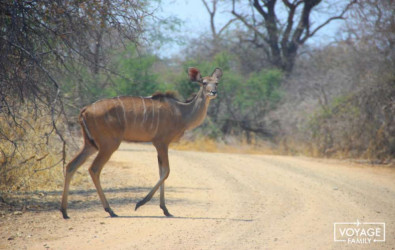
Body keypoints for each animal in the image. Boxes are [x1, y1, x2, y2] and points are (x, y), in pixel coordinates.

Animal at [61, 67, 223, 219]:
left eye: (216, 83)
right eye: (203, 82)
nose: (213, 92)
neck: (181, 113)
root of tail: (84, 110)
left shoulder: (159, 145)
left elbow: (161, 171)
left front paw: (165, 210)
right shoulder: (161, 142)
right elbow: (166, 171)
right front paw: (140, 203)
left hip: (90, 144)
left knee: (71, 166)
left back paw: (64, 212)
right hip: (109, 144)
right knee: (94, 169)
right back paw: (110, 210)